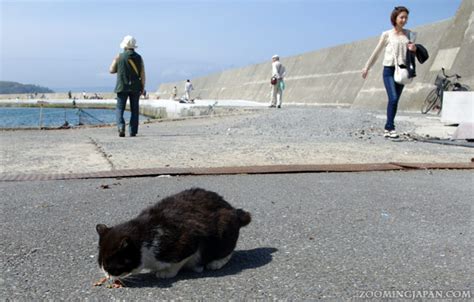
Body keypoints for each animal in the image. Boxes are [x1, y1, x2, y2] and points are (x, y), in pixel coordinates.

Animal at [95, 188, 252, 280]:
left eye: (110, 267)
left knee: (227, 251)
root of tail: (234, 210)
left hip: (224, 229)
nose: (106, 276)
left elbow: (176, 263)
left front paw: (166, 273)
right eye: (100, 265)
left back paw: (215, 263)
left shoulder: (187, 243)